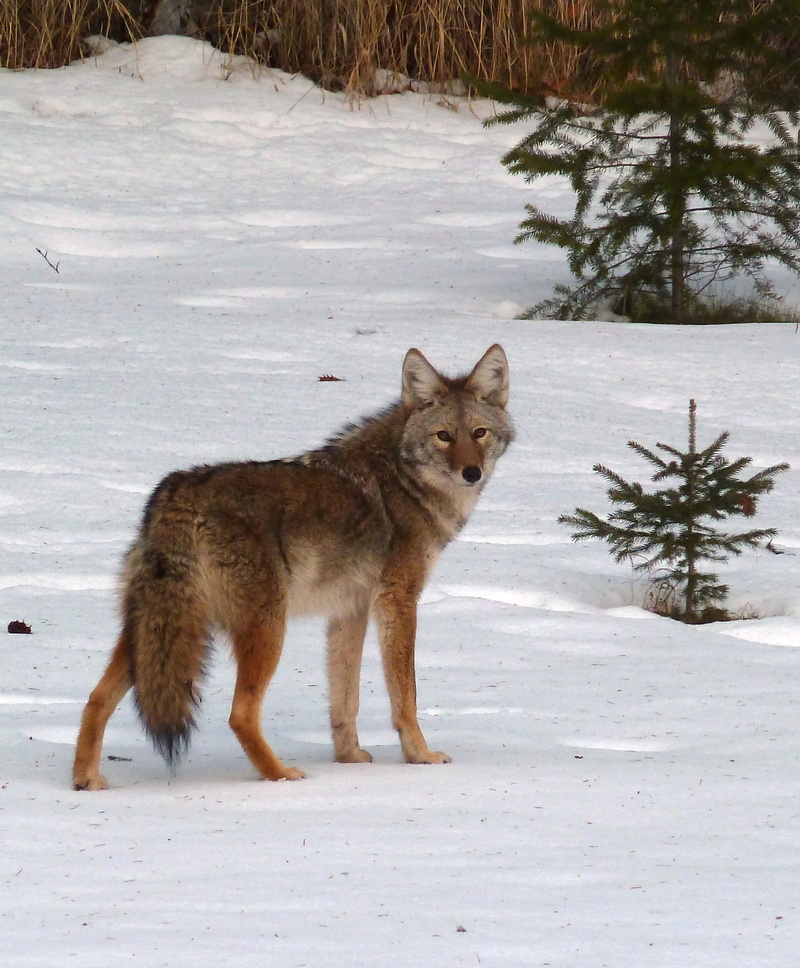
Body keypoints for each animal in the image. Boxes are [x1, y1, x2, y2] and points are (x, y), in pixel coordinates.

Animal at [72, 344, 513, 789]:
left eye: (479, 433)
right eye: (444, 436)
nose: (471, 472)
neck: (403, 478)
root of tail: (177, 493)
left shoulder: (350, 611)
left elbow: (345, 699)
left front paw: (350, 758)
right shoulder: (398, 602)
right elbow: (405, 696)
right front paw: (420, 755)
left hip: (153, 633)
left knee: (95, 697)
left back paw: (86, 780)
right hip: (267, 628)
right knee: (240, 714)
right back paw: (281, 775)